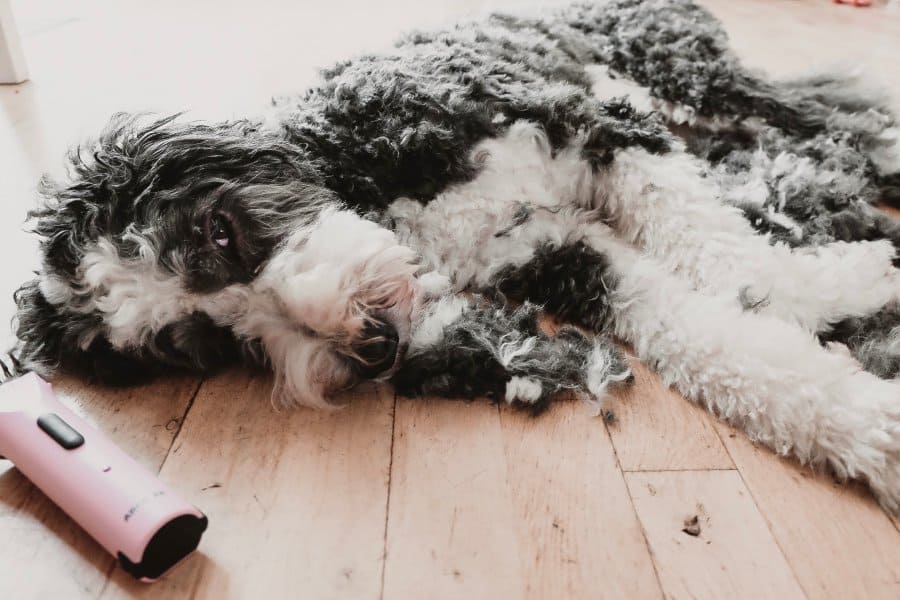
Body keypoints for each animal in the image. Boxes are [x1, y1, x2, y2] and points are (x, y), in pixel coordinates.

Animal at [10, 0, 900, 508]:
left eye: (218, 233)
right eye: (207, 343)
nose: (372, 346)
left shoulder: (596, 126)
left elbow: (733, 261)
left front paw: (854, 282)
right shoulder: (555, 253)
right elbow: (705, 335)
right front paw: (867, 428)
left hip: (685, 82)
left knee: (825, 115)